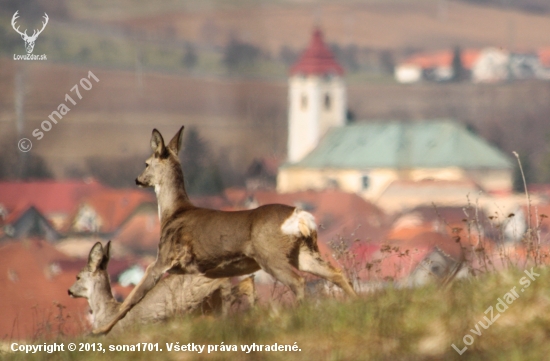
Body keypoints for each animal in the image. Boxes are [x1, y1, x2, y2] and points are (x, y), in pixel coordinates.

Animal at [69, 240, 256, 334]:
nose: (69, 291)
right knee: (243, 284)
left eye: (77, 277)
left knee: (231, 288)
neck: (107, 312)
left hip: (198, 292)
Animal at [91, 127, 358, 334]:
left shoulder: (163, 258)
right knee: (336, 273)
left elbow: (131, 299)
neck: (173, 213)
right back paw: (356, 304)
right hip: (303, 252)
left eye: (147, 162)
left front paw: (101, 330)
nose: (137, 179)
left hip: (270, 255)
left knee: (298, 281)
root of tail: (300, 217)